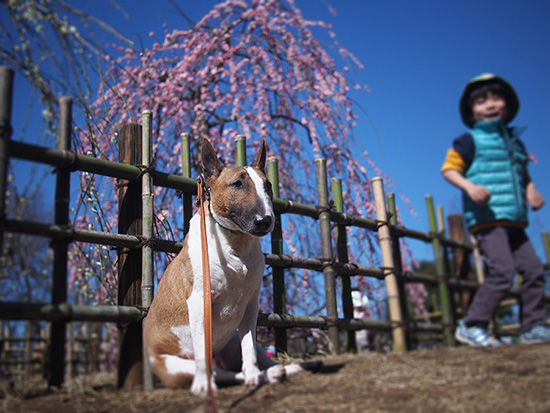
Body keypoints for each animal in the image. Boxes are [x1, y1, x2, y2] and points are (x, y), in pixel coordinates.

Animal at [142, 139, 314, 396]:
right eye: (237, 183)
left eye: (268, 185)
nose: (266, 221)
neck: (235, 243)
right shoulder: (199, 301)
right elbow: (203, 351)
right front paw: (203, 385)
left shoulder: (251, 304)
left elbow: (249, 348)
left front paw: (254, 377)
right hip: (178, 366)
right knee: (221, 373)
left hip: (232, 340)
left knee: (248, 360)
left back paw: (279, 370)